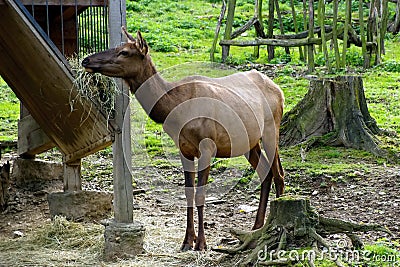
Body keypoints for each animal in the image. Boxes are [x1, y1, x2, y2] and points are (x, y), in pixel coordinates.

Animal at [83, 28, 284, 252]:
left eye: (124, 52)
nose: (86, 60)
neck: (175, 109)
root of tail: (279, 89)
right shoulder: (184, 149)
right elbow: (188, 193)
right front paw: (187, 241)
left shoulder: (208, 147)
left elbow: (200, 194)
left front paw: (202, 243)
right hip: (249, 142)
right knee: (265, 173)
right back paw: (256, 228)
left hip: (272, 129)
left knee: (278, 174)